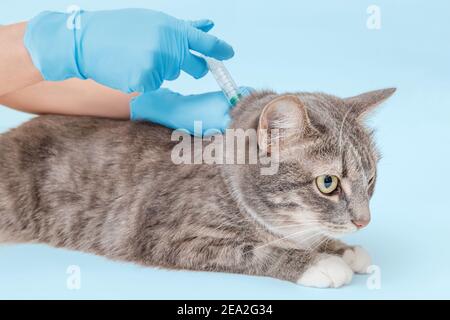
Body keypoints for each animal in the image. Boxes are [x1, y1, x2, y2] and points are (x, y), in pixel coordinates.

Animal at [0, 89, 394, 288]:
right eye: (328, 183)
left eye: (370, 179)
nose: (364, 221)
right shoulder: (168, 235)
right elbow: (256, 251)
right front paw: (318, 262)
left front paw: (341, 248)